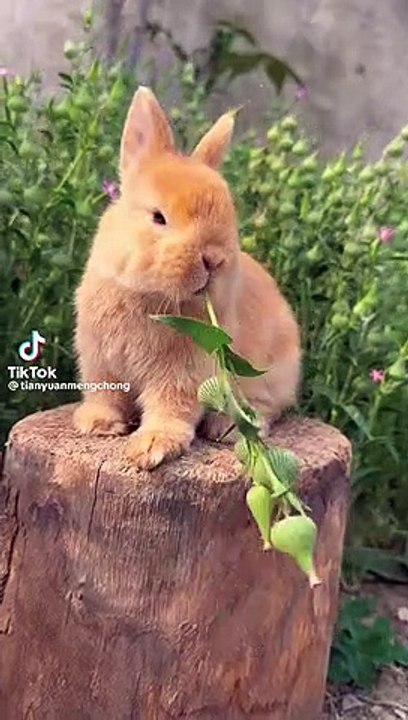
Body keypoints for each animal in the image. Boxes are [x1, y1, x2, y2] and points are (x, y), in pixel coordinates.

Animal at [73, 86, 301, 469]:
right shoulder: (99, 361)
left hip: (271, 374)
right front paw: (98, 424)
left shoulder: (183, 373)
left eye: (228, 214)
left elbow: (171, 409)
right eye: (158, 217)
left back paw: (230, 427)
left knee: (267, 408)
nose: (213, 259)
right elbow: (105, 394)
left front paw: (151, 447)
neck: (148, 298)